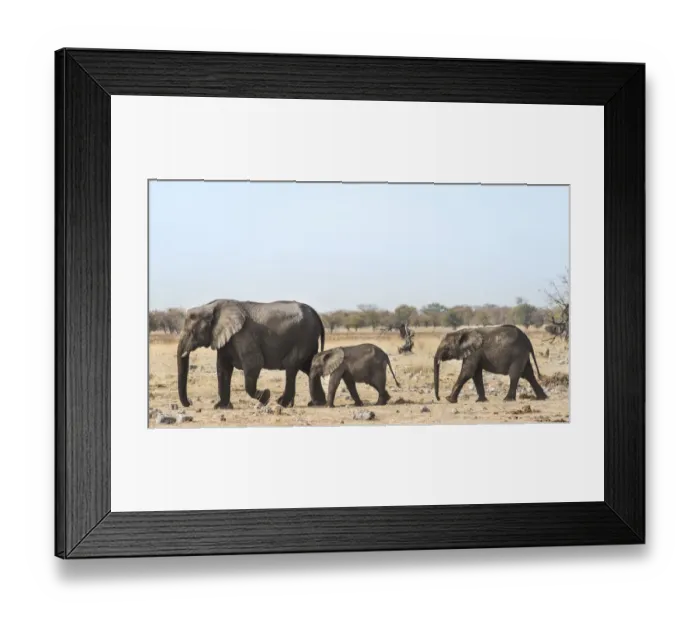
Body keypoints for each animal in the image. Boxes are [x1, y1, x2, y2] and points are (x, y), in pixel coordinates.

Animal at [177, 299, 327, 409]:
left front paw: (265, 396)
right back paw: (317, 404)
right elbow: (223, 368)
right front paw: (221, 407)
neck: (210, 306)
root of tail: (316, 314)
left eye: (191, 332)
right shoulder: (227, 338)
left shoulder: (243, 335)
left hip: (304, 338)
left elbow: (254, 364)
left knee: (291, 366)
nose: (190, 402)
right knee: (309, 368)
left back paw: (282, 403)